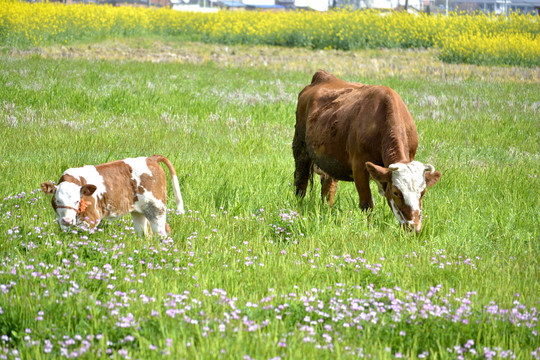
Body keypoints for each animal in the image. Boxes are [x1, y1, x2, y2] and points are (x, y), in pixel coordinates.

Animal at [294, 70, 440, 233]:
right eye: (396, 192)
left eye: (423, 193)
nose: (414, 228)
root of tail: (322, 76)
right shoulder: (359, 166)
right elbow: (367, 203)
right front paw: (368, 229)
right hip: (300, 148)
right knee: (300, 183)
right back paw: (297, 210)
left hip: (330, 159)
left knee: (328, 187)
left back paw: (327, 209)